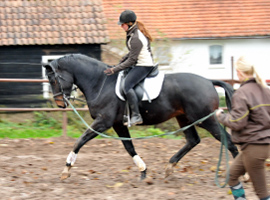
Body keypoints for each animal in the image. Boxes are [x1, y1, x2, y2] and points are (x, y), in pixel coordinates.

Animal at [42, 54, 238, 180]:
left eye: (54, 79)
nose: (60, 104)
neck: (100, 83)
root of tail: (208, 81)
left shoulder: (103, 122)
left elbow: (80, 141)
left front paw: (67, 168)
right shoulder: (118, 124)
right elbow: (129, 147)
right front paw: (143, 170)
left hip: (205, 119)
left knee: (227, 140)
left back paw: (238, 173)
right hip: (185, 118)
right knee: (193, 140)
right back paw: (169, 167)